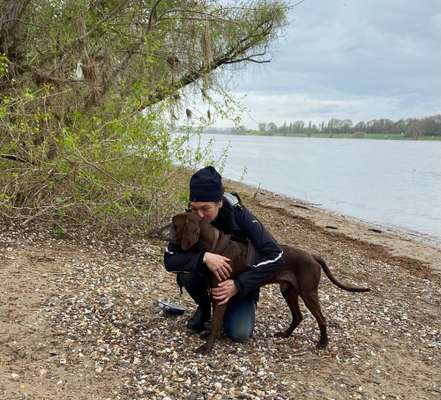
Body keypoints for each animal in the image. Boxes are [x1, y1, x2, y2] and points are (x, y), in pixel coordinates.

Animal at [170, 212, 370, 354]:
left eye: (174, 224)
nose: (162, 230)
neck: (215, 246)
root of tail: (312, 256)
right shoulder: (216, 292)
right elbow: (216, 321)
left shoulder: (222, 293)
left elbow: (216, 322)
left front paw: (208, 347)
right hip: (289, 291)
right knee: (298, 316)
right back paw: (285, 334)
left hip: (308, 293)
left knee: (321, 318)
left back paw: (323, 343)